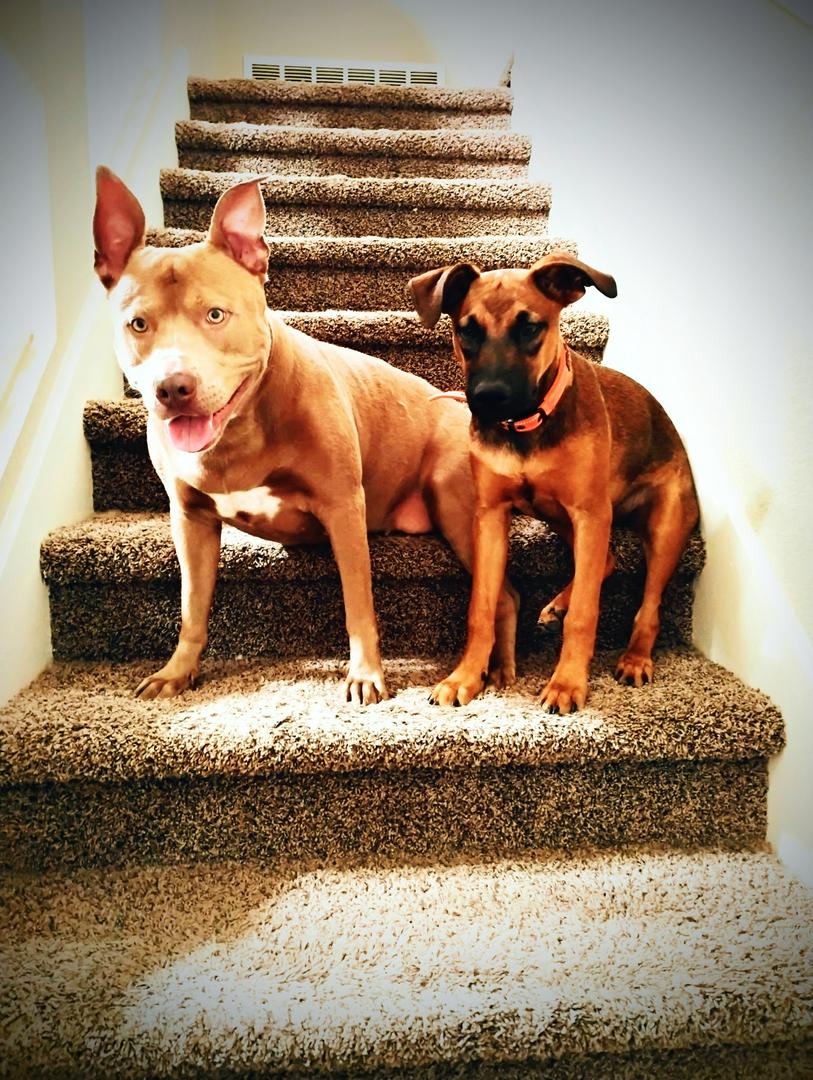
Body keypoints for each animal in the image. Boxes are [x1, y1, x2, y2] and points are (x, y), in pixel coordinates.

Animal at [92, 168, 518, 702]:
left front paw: (366, 676)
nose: (173, 388)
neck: (239, 431)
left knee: (503, 594)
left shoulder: (343, 506)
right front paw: (177, 671)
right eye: (138, 324)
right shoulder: (190, 521)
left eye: (215, 314)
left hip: (456, 505)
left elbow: (358, 603)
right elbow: (191, 608)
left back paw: (497, 669)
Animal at [409, 252, 699, 713]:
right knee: (607, 561)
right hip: (564, 516)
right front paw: (465, 677)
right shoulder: (490, 516)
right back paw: (560, 603)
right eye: (467, 330)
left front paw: (567, 684)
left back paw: (635, 658)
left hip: (662, 525)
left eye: (530, 327)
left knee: (648, 605)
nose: (488, 398)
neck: (526, 429)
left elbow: (585, 614)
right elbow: (481, 608)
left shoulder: (589, 513)